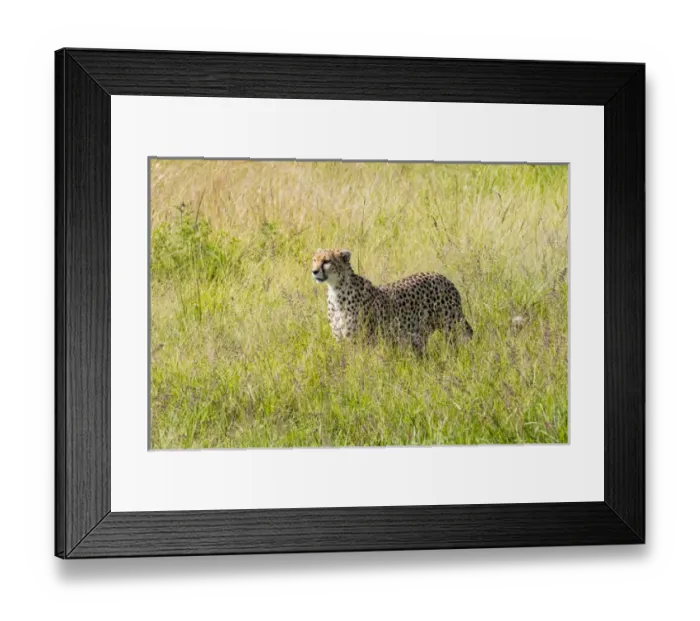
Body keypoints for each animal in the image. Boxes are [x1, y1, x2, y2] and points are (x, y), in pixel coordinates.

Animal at [311, 248, 473, 354]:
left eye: (326, 261)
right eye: (314, 260)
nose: (314, 271)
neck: (336, 290)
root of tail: (441, 276)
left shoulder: (363, 341)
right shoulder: (342, 341)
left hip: (452, 325)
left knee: (462, 340)